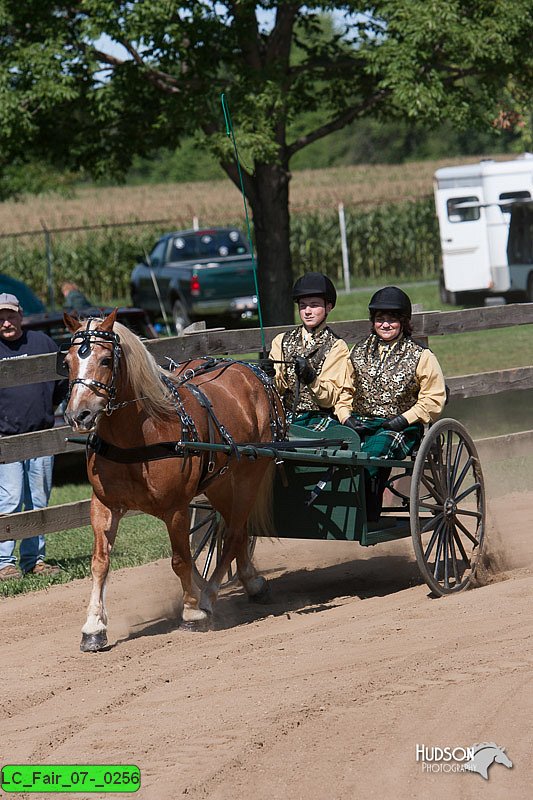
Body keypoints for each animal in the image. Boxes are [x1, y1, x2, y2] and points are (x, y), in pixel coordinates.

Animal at [61, 310, 284, 652]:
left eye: (106, 359)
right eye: (68, 361)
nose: (79, 415)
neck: (137, 435)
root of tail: (249, 369)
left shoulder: (176, 508)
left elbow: (180, 560)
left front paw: (192, 610)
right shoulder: (103, 505)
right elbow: (99, 562)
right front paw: (93, 628)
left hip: (250, 473)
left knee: (234, 534)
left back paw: (209, 596)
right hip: (219, 483)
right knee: (233, 530)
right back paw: (251, 582)